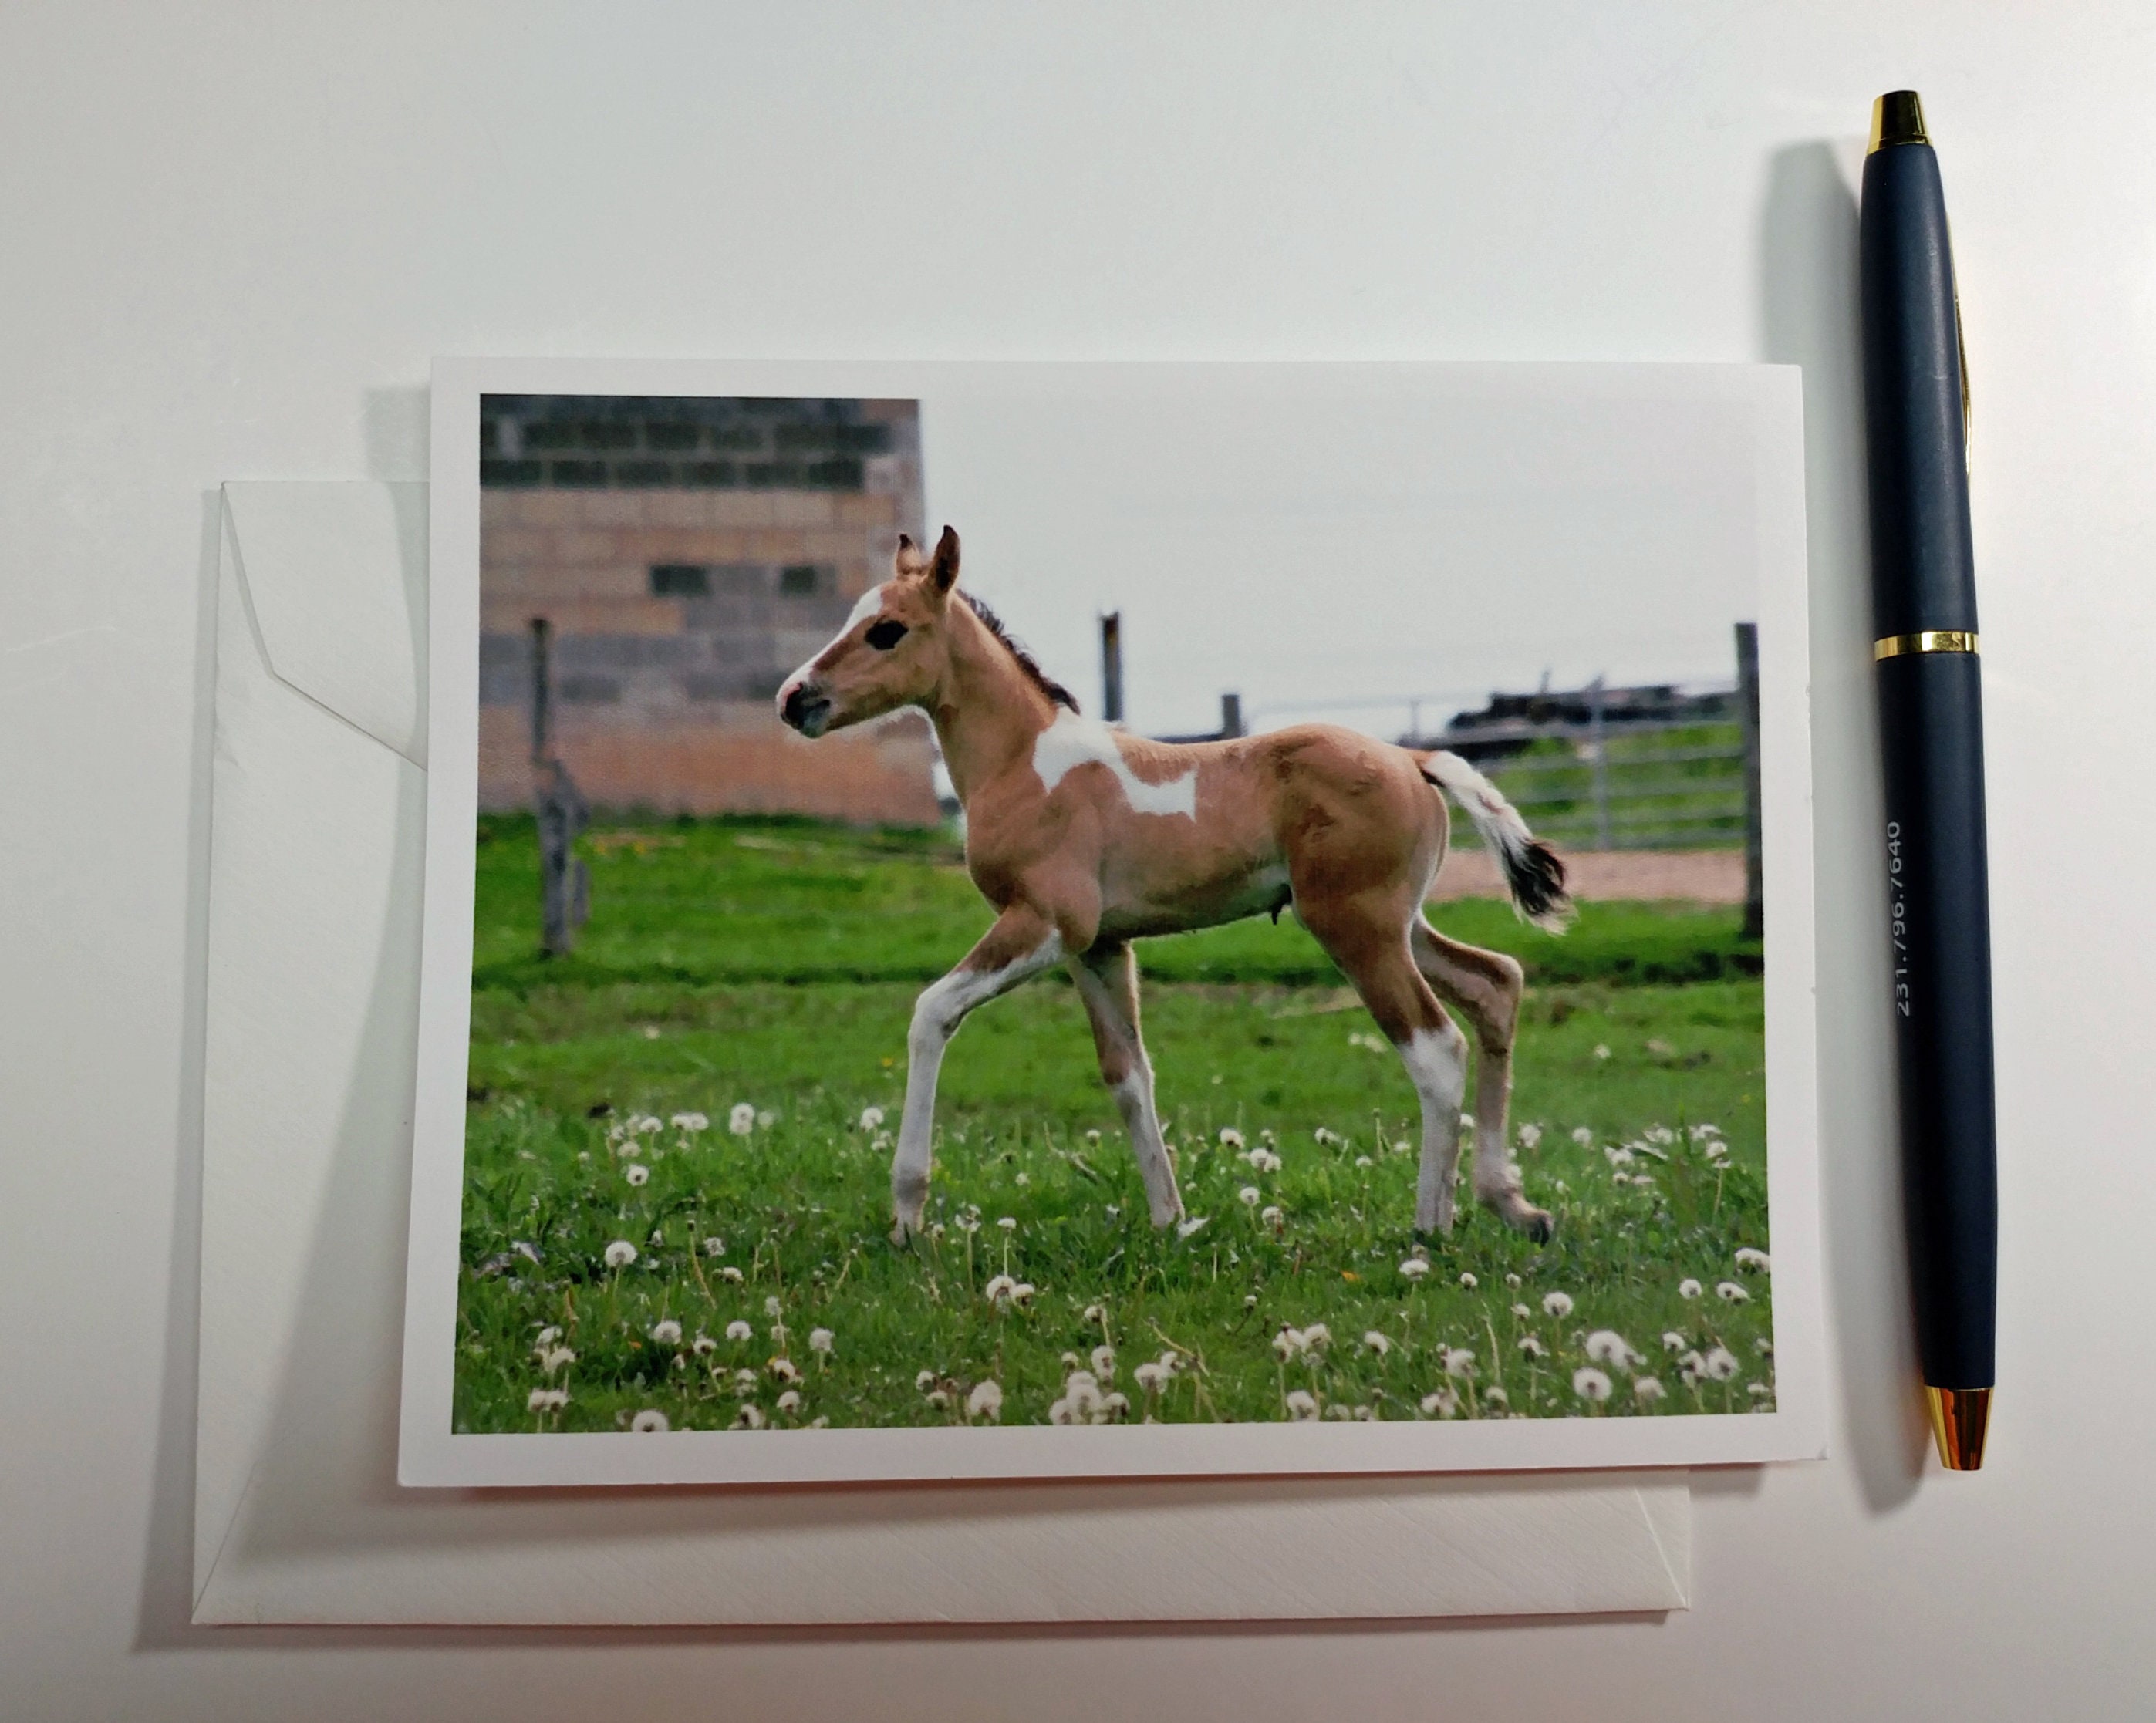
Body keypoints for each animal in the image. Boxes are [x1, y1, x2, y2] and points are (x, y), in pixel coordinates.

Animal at [777, 527, 1574, 1246]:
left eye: (886, 631)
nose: (794, 699)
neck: (1023, 763)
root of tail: (1413, 761)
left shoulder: (1045, 924)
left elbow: (931, 1013)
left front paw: (907, 1214)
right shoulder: (1096, 948)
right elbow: (1128, 1077)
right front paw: (1171, 1222)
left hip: (1357, 929)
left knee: (1435, 1048)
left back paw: (1430, 1227)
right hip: (1401, 925)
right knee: (1494, 986)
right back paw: (1513, 1206)